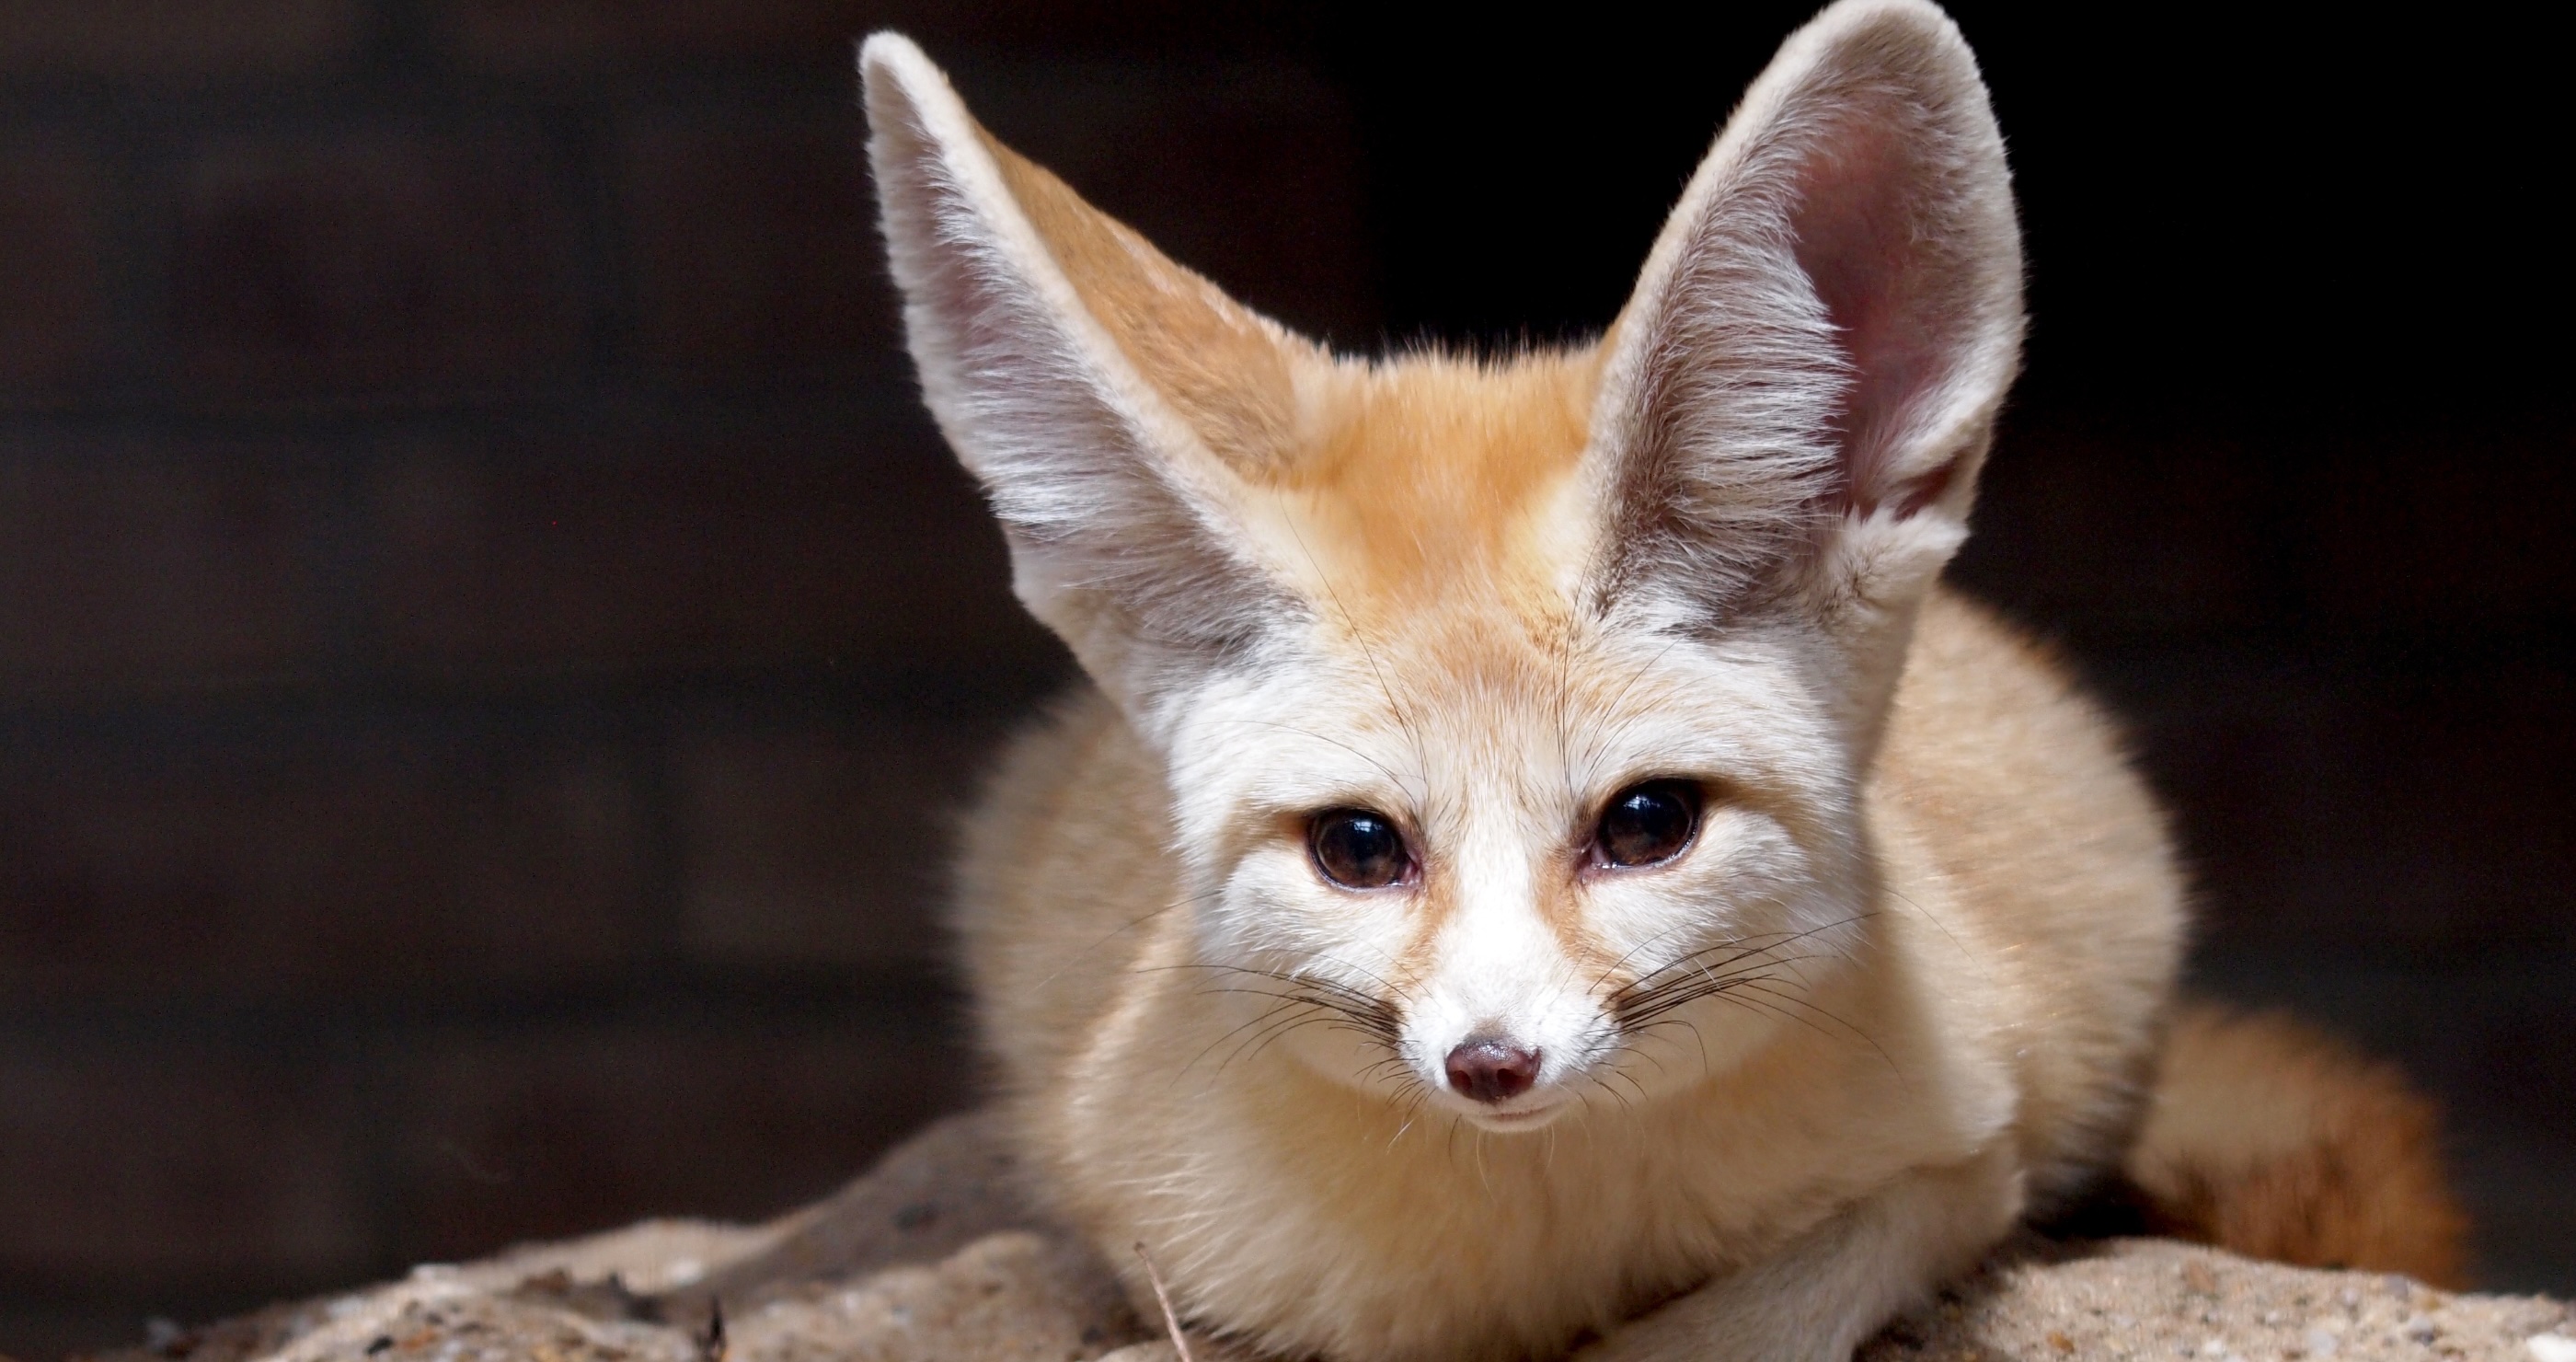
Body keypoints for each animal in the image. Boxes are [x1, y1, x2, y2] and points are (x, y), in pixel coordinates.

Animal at [857, 3, 2467, 1359]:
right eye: (1359, 848)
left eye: (1646, 826)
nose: (1492, 1063)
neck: (1550, 1252)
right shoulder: (1156, 1239)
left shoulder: (1970, 1152)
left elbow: (1768, 1306)